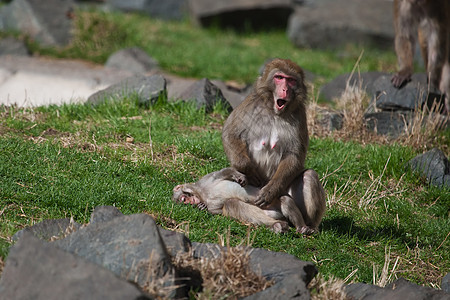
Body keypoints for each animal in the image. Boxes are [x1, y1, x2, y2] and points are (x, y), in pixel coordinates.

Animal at [171, 166, 324, 234]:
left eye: (184, 198)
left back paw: (303, 227)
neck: (202, 194)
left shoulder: (206, 181)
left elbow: (224, 172)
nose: (190, 202)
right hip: (271, 212)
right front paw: (201, 207)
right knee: (233, 204)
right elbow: (218, 210)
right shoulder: (210, 205)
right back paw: (278, 225)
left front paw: (239, 176)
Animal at [220, 57, 326, 233]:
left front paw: (269, 191)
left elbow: (294, 155)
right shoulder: (251, 103)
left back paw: (308, 227)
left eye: (291, 80)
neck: (275, 112)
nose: (285, 89)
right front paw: (250, 171)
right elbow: (231, 134)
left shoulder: (300, 115)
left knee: (309, 176)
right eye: (279, 77)